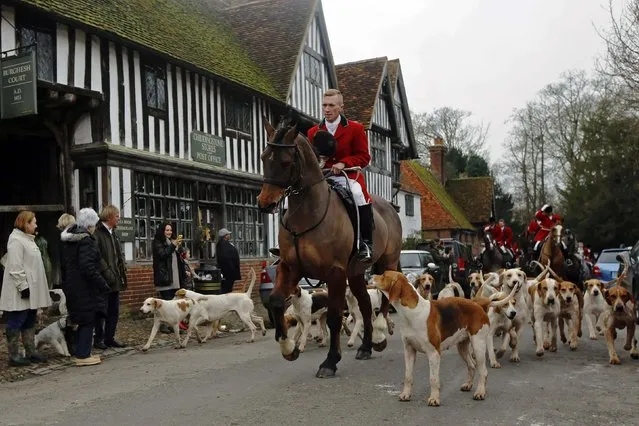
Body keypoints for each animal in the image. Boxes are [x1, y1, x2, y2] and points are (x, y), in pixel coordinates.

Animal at [258, 115, 402, 378]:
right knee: (365, 305)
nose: (265, 203)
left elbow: (335, 317)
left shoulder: (335, 273)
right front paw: (288, 347)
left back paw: (378, 335)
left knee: (383, 301)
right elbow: (275, 301)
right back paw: (366, 346)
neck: (306, 213)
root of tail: (387, 205)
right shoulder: (290, 267)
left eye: (286, 161)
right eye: (264, 157)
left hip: (386, 263)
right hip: (355, 273)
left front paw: (330, 361)